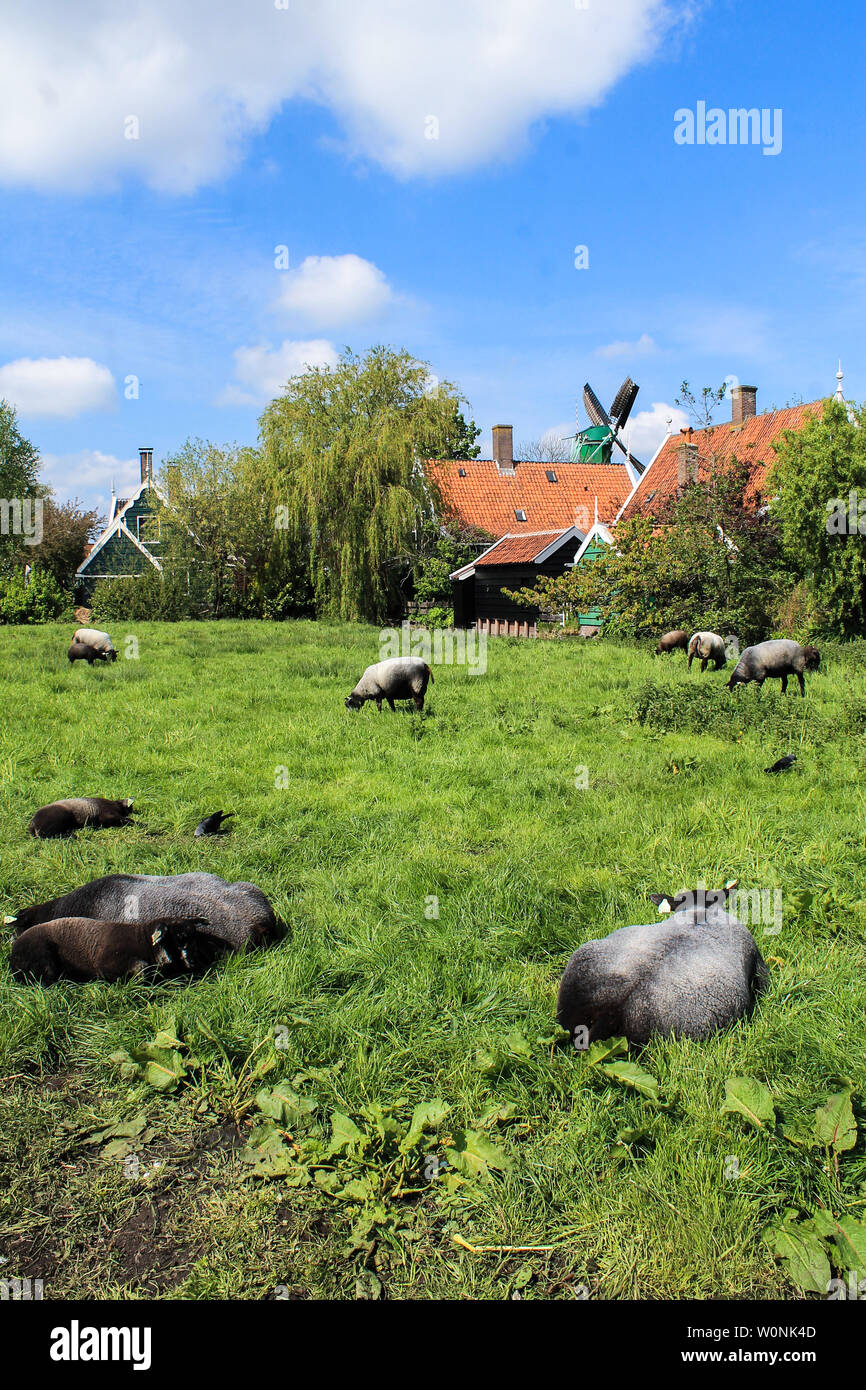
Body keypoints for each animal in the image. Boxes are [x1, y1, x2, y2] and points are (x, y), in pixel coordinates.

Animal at [10, 911, 209, 989]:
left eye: (193, 937)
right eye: (178, 937)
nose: (195, 962)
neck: (143, 941)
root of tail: (12, 957)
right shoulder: (107, 964)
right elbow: (142, 969)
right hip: (44, 961)